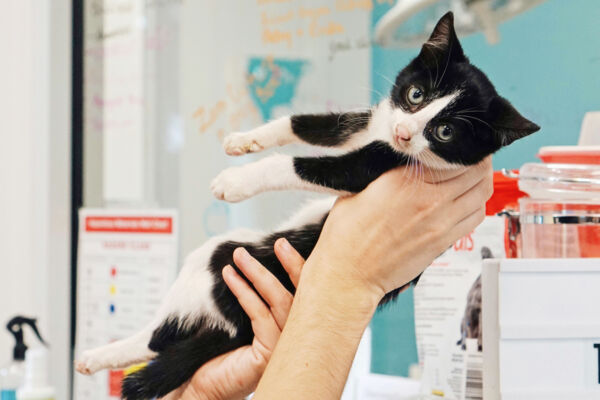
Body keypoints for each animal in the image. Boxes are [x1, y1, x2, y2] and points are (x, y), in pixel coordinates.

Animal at [74, 12, 540, 400]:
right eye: (416, 93)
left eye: (444, 131)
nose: (406, 132)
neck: (388, 140)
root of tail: (240, 327)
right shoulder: (371, 121)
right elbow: (308, 123)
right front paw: (245, 140)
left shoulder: (371, 166)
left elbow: (303, 164)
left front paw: (236, 181)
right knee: (161, 334)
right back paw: (97, 356)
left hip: (219, 259)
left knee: (163, 334)